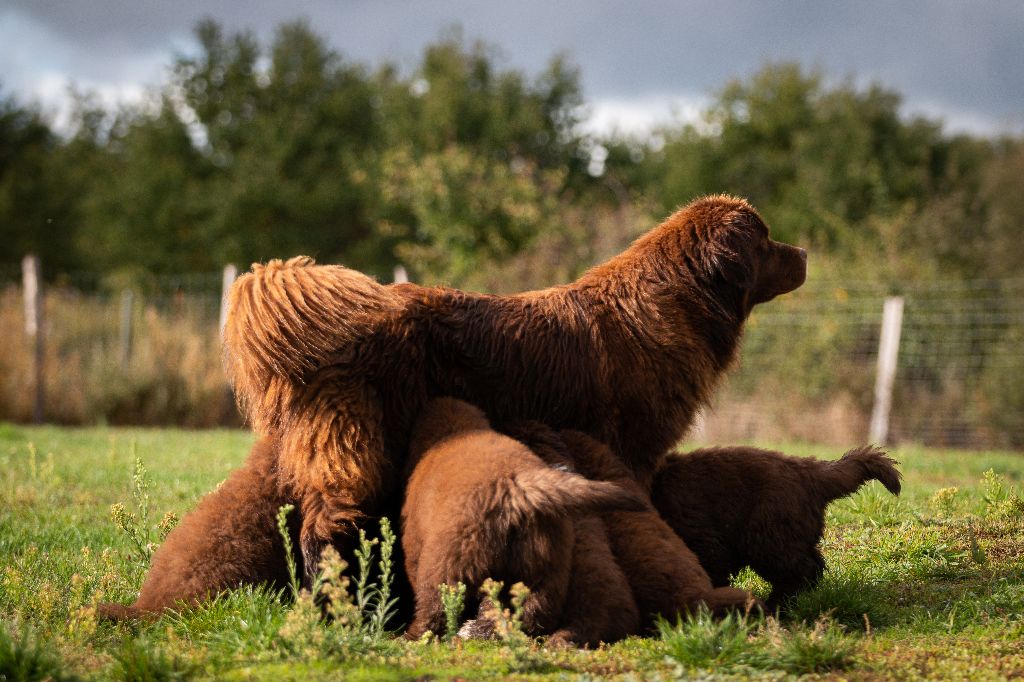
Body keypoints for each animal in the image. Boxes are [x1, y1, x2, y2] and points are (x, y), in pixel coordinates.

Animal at [224, 193, 806, 593]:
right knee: (323, 527)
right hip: (358, 446)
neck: (679, 302)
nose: (803, 251)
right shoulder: (634, 451)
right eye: (766, 240)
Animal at [401, 395, 647, 638]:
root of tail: (516, 489)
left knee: (435, 606)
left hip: (448, 561)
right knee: (533, 611)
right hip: (545, 563)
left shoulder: (415, 543)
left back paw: (418, 636)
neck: (454, 431)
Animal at [651, 444, 901, 606]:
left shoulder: (703, 539)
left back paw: (776, 606)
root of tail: (808, 470)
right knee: (813, 565)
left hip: (767, 536)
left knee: (799, 570)